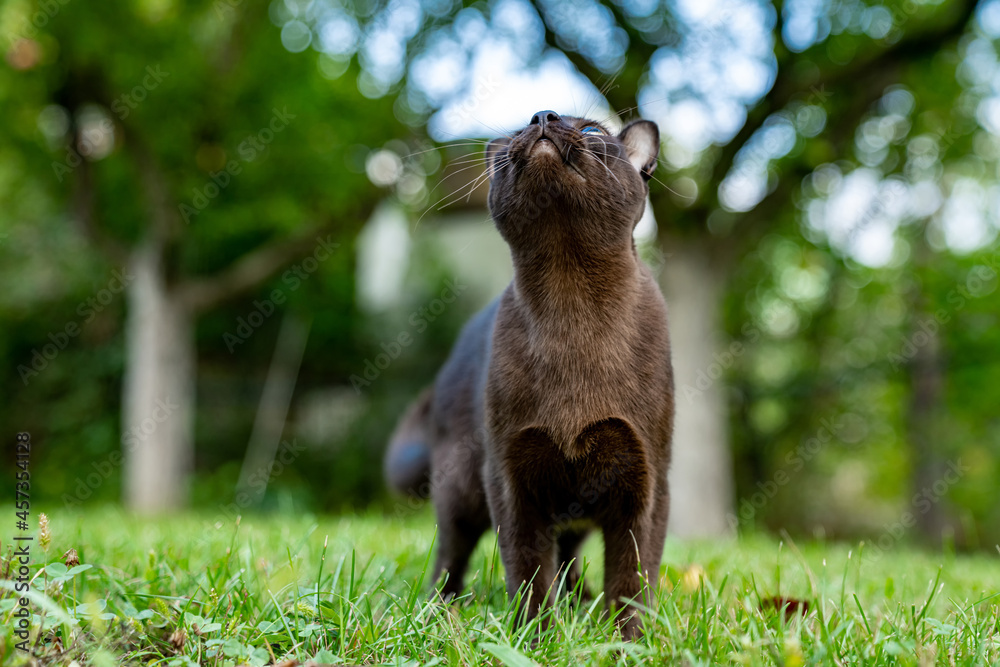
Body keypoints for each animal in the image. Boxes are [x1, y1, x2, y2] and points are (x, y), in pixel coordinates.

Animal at [386, 109, 676, 640]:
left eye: (592, 131)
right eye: (523, 125)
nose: (543, 116)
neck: (572, 297)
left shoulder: (645, 482)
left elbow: (632, 578)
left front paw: (626, 643)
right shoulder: (511, 478)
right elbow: (526, 569)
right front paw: (534, 638)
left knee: (570, 557)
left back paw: (581, 602)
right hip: (460, 490)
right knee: (450, 557)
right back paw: (439, 611)